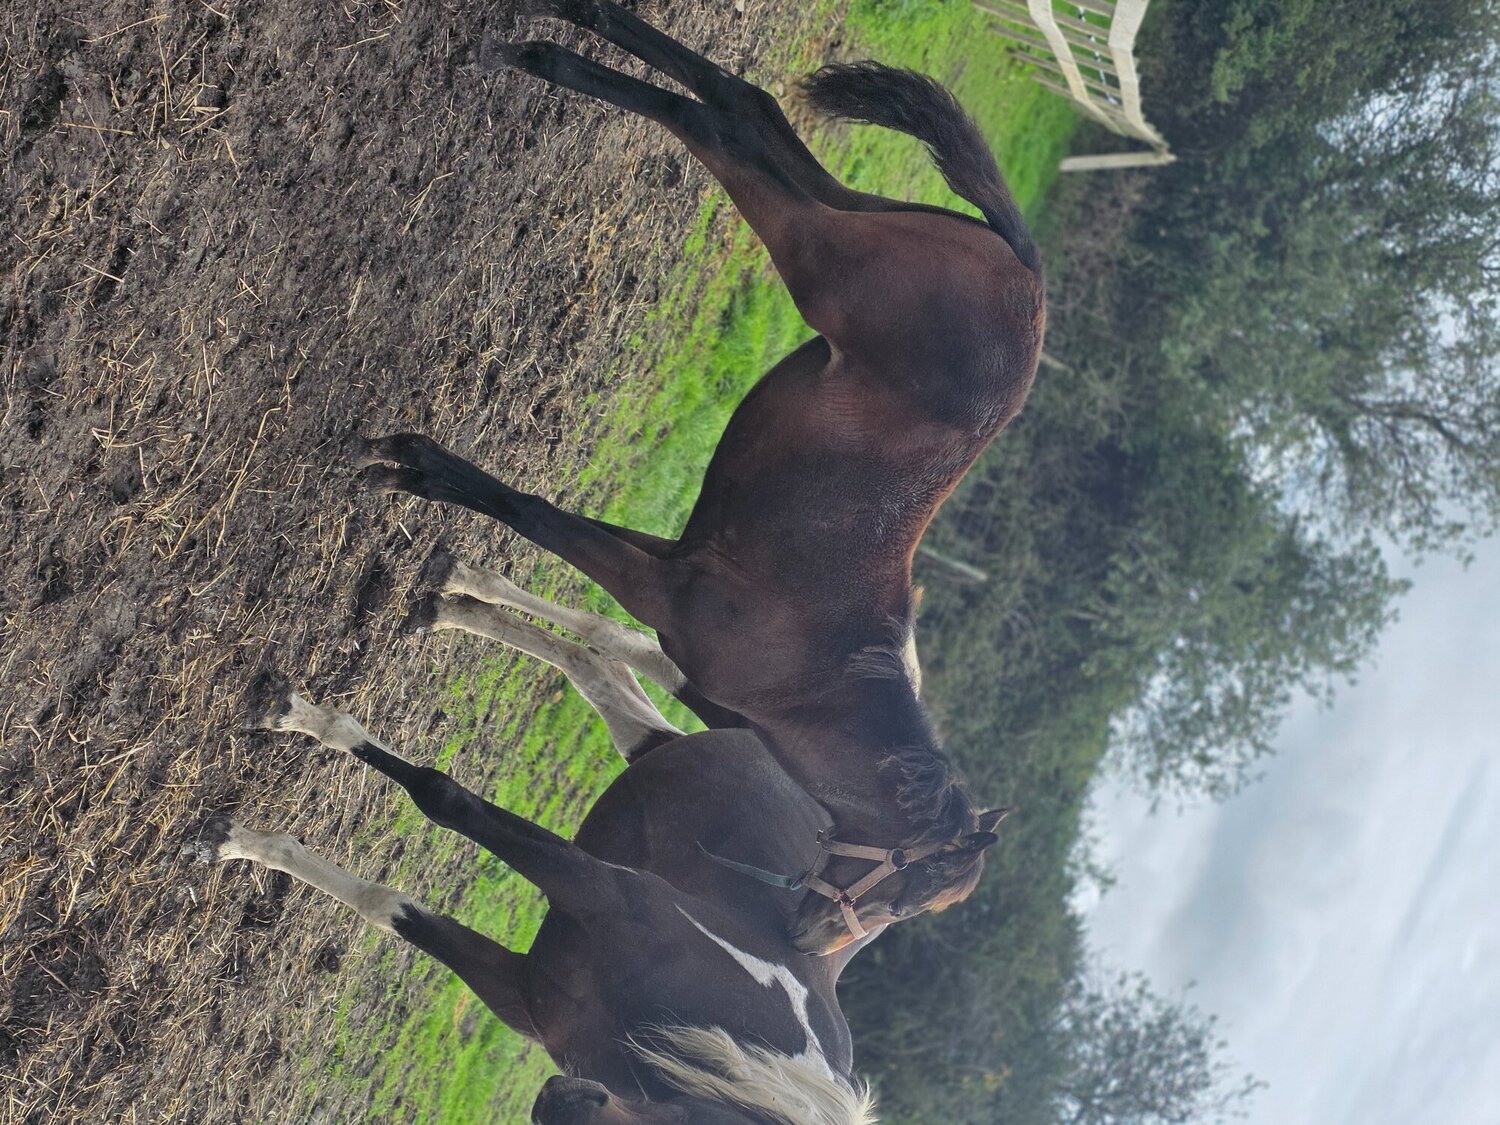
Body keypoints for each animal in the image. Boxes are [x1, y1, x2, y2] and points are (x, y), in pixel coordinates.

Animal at [199, 684, 877, 1125]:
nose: (561, 1101)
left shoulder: (519, 991)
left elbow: (393, 908)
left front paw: (249, 843)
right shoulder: (602, 892)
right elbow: (441, 798)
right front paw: (241, 831)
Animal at [361, 0, 1042, 953]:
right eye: (910, 892)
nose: (805, 941)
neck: (821, 680)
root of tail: (1026, 268)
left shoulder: (670, 569)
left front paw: (439, 565)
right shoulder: (660, 586)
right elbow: (531, 512)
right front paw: (412, 467)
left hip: (846, 215)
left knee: (750, 109)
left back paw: (562, 34)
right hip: (820, 252)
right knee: (721, 123)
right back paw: (549, 55)